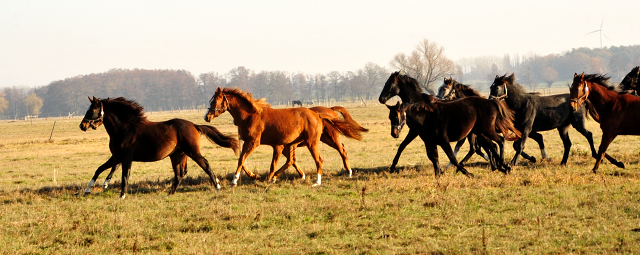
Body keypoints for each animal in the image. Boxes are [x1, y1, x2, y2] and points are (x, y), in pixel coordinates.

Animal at [79, 96, 240, 198]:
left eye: (91, 110)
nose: (82, 125)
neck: (123, 129)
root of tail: (194, 125)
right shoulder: (116, 156)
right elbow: (99, 169)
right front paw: (88, 190)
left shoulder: (126, 158)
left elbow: (125, 176)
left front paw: (122, 196)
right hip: (177, 155)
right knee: (180, 174)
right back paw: (169, 194)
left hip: (192, 152)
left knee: (205, 165)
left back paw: (218, 187)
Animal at [205, 88, 360, 187]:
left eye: (215, 102)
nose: (207, 117)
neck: (251, 116)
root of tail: (318, 114)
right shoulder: (258, 143)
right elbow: (243, 161)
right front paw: (256, 176)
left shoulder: (255, 143)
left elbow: (245, 160)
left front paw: (235, 181)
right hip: (318, 140)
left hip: (317, 141)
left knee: (327, 156)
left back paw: (324, 180)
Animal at [488, 72, 624, 166]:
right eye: (490, 87)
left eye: (496, 88)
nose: (489, 101)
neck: (522, 104)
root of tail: (582, 101)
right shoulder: (523, 130)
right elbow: (517, 145)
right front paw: (533, 158)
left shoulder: (527, 128)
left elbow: (520, 145)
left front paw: (513, 163)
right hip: (563, 128)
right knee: (568, 144)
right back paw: (563, 162)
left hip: (578, 124)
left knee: (589, 135)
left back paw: (598, 156)